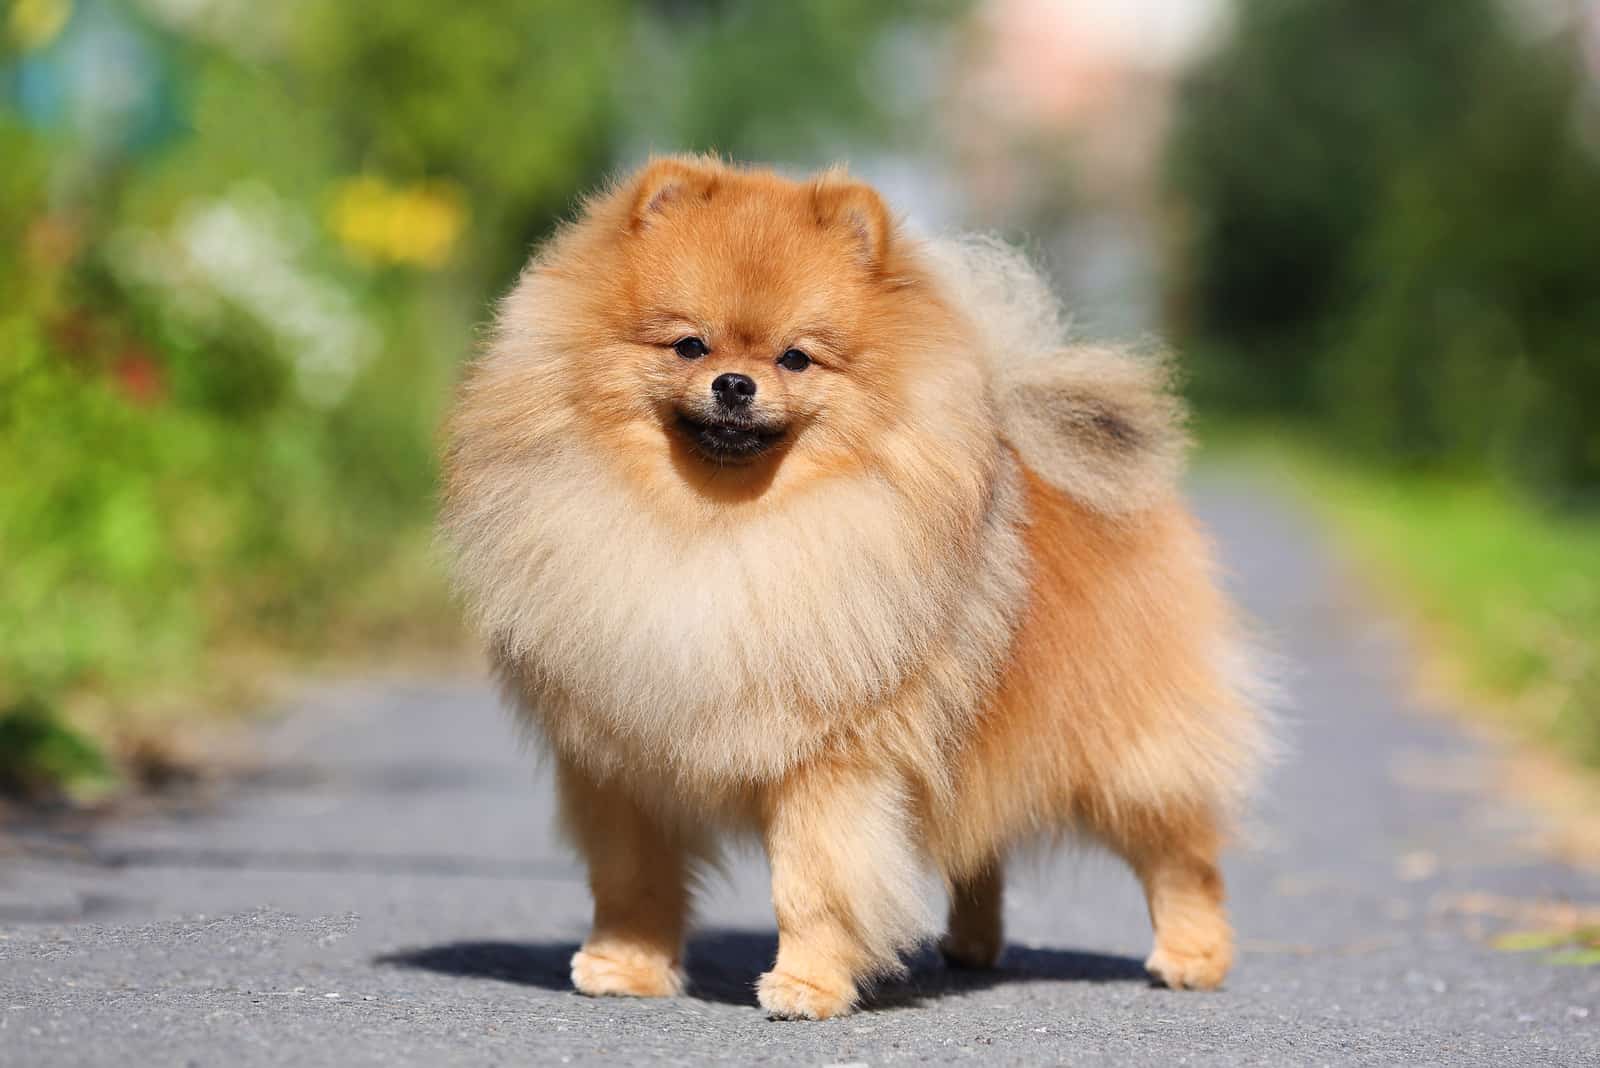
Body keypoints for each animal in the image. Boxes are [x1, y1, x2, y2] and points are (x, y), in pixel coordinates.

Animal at [438, 156, 1260, 1016]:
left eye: (796, 358)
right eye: (689, 346)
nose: (734, 384)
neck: (714, 530)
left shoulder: (832, 760)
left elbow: (813, 883)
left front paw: (805, 985)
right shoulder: (622, 759)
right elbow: (632, 878)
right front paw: (626, 966)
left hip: (1126, 749)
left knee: (1180, 854)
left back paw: (1192, 956)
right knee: (981, 844)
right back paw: (971, 946)